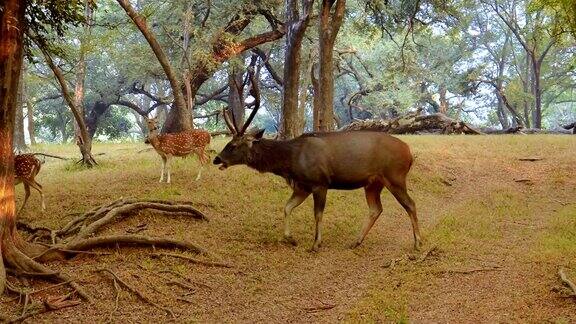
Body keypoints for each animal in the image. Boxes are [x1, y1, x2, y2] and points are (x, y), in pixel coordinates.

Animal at [214, 72, 420, 252]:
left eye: (233, 145)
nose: (217, 159)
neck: (290, 161)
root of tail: (409, 153)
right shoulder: (302, 186)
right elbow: (286, 207)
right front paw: (290, 238)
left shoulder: (320, 182)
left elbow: (317, 214)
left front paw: (315, 244)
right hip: (373, 183)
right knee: (376, 209)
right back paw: (356, 241)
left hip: (395, 176)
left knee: (410, 204)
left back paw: (418, 242)